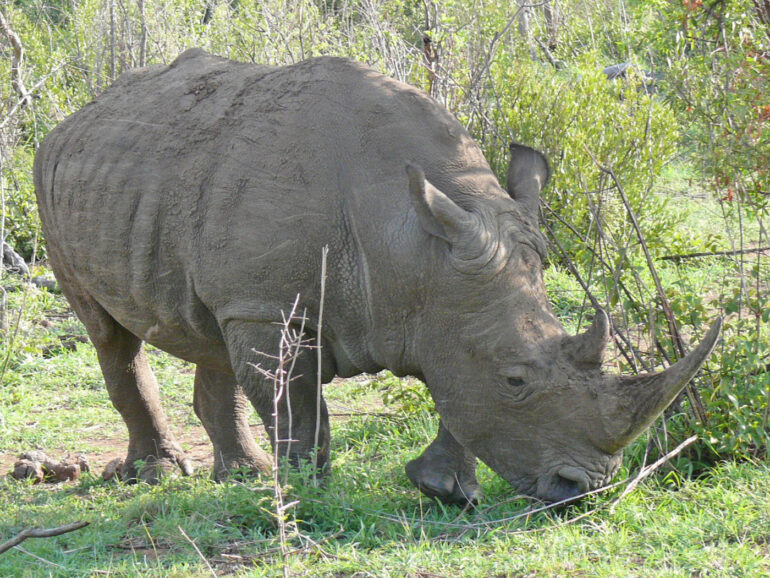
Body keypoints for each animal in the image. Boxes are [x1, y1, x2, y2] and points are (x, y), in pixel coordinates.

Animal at [34, 49, 720, 504]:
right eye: (517, 379)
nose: (583, 490)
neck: (408, 242)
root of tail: (79, 114)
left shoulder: (449, 288)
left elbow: (458, 389)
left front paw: (445, 490)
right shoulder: (268, 306)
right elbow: (296, 405)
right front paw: (304, 492)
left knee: (208, 334)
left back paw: (240, 474)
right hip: (52, 177)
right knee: (108, 334)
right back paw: (164, 474)